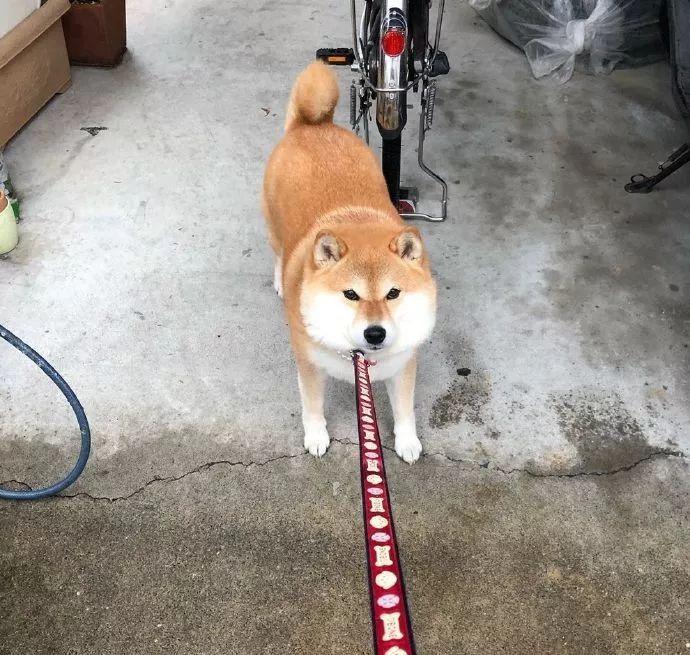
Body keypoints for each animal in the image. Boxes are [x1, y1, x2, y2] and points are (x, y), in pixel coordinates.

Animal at [262, 61, 437, 463]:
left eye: (393, 293)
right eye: (351, 295)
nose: (375, 333)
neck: (360, 356)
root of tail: (313, 125)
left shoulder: (404, 365)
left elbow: (405, 409)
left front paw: (407, 440)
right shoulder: (309, 364)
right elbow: (312, 407)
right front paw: (316, 436)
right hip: (274, 227)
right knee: (278, 252)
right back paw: (279, 280)